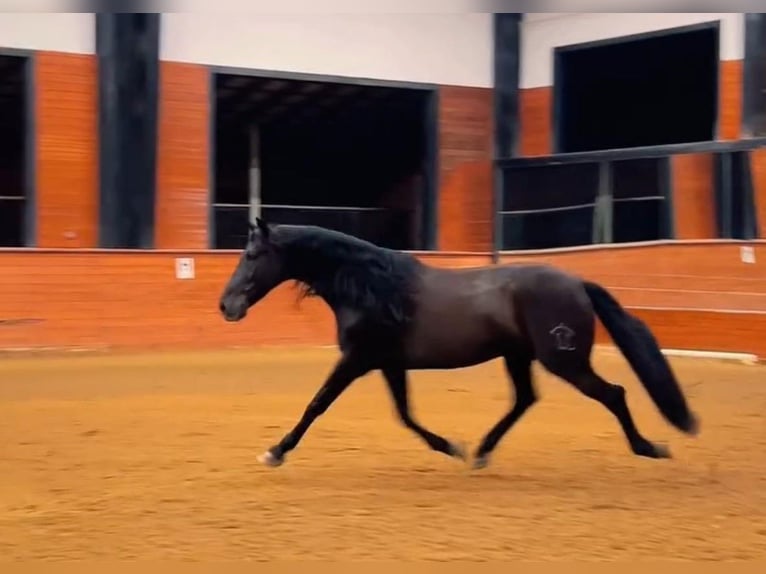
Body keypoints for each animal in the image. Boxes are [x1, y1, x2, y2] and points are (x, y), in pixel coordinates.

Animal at [218, 218, 699, 470]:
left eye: (253, 256)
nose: (226, 306)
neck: (373, 287)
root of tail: (577, 283)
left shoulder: (357, 359)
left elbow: (317, 404)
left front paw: (275, 451)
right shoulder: (388, 363)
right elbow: (405, 414)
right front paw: (452, 447)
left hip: (564, 360)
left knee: (613, 394)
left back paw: (649, 448)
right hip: (519, 356)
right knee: (525, 399)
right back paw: (482, 452)